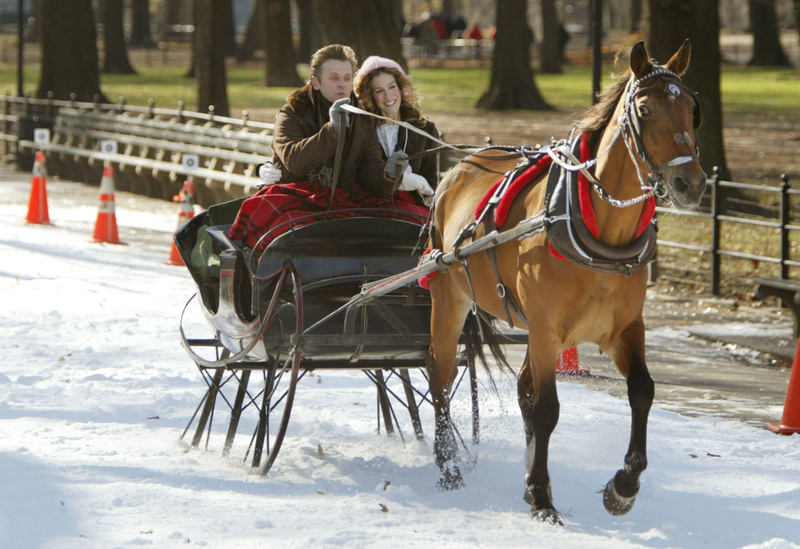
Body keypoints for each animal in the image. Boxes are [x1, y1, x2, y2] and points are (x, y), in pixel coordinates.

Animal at [424, 40, 708, 520]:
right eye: (646, 109)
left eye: (691, 107)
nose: (691, 183)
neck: (601, 229)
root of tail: (461, 165)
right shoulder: (546, 330)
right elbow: (546, 409)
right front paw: (542, 496)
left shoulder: (624, 329)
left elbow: (642, 391)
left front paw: (623, 485)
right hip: (449, 297)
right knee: (441, 376)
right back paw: (447, 466)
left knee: (521, 388)